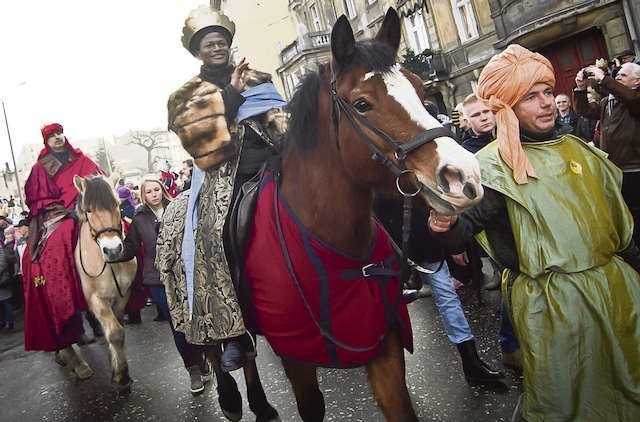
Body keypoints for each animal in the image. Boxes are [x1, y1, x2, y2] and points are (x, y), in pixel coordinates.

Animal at [72, 175, 138, 396]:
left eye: (116, 204)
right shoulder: (96, 300)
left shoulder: (123, 295)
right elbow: (115, 332)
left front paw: (116, 364)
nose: (113, 249)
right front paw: (122, 376)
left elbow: (117, 329)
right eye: (89, 210)